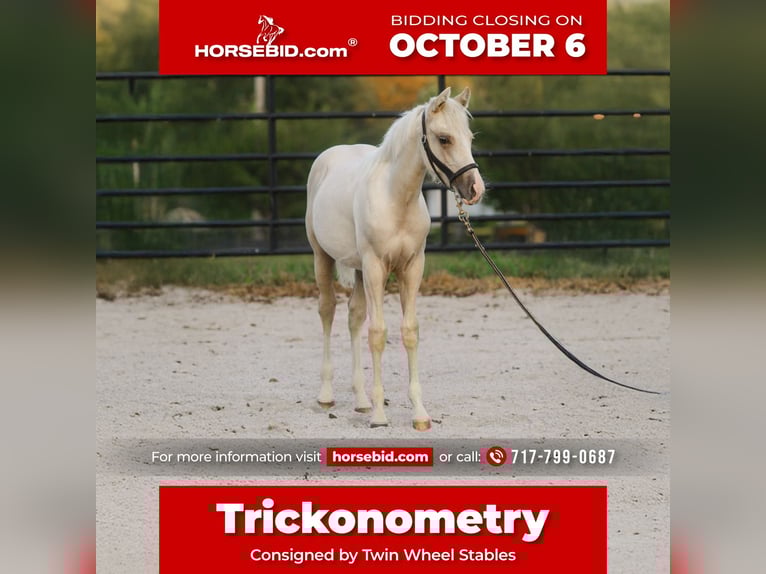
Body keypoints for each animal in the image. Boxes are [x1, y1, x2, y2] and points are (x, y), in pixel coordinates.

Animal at [305, 87, 485, 430]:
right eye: (444, 139)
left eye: (469, 138)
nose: (475, 189)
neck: (395, 200)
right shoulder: (376, 267)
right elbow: (378, 334)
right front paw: (379, 415)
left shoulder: (412, 267)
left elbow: (409, 331)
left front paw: (419, 414)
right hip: (322, 256)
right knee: (327, 311)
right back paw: (326, 395)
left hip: (359, 270)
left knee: (354, 316)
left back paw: (361, 400)